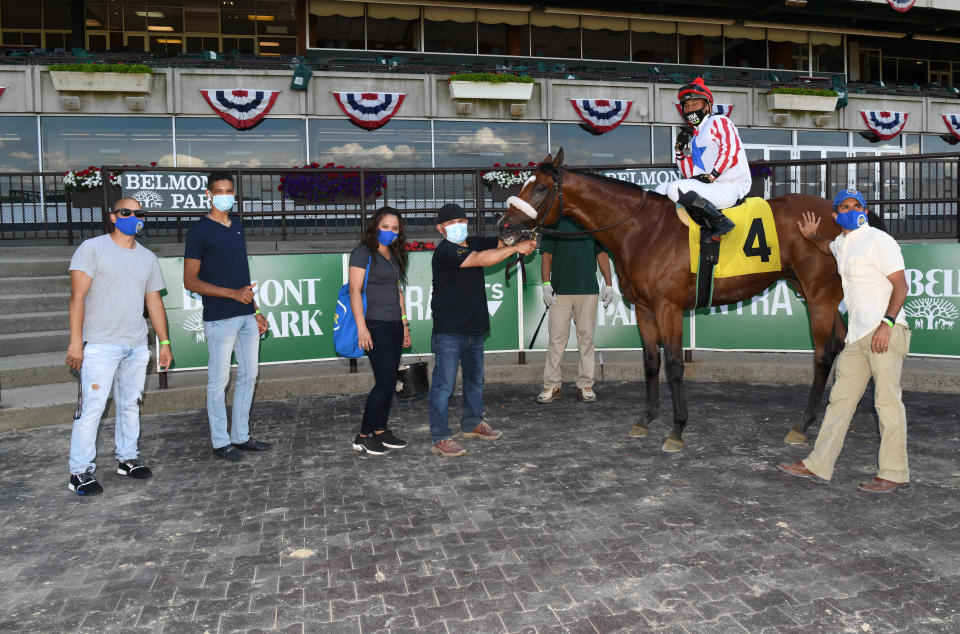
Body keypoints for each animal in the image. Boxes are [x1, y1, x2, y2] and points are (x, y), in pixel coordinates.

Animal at [496, 150, 856, 452]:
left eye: (540, 188)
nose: (505, 225)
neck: (642, 230)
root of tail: (835, 214)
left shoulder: (668, 307)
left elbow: (673, 364)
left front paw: (677, 428)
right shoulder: (643, 308)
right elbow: (650, 362)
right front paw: (647, 418)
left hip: (819, 295)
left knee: (823, 354)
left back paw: (803, 423)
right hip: (818, 292)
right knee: (840, 343)